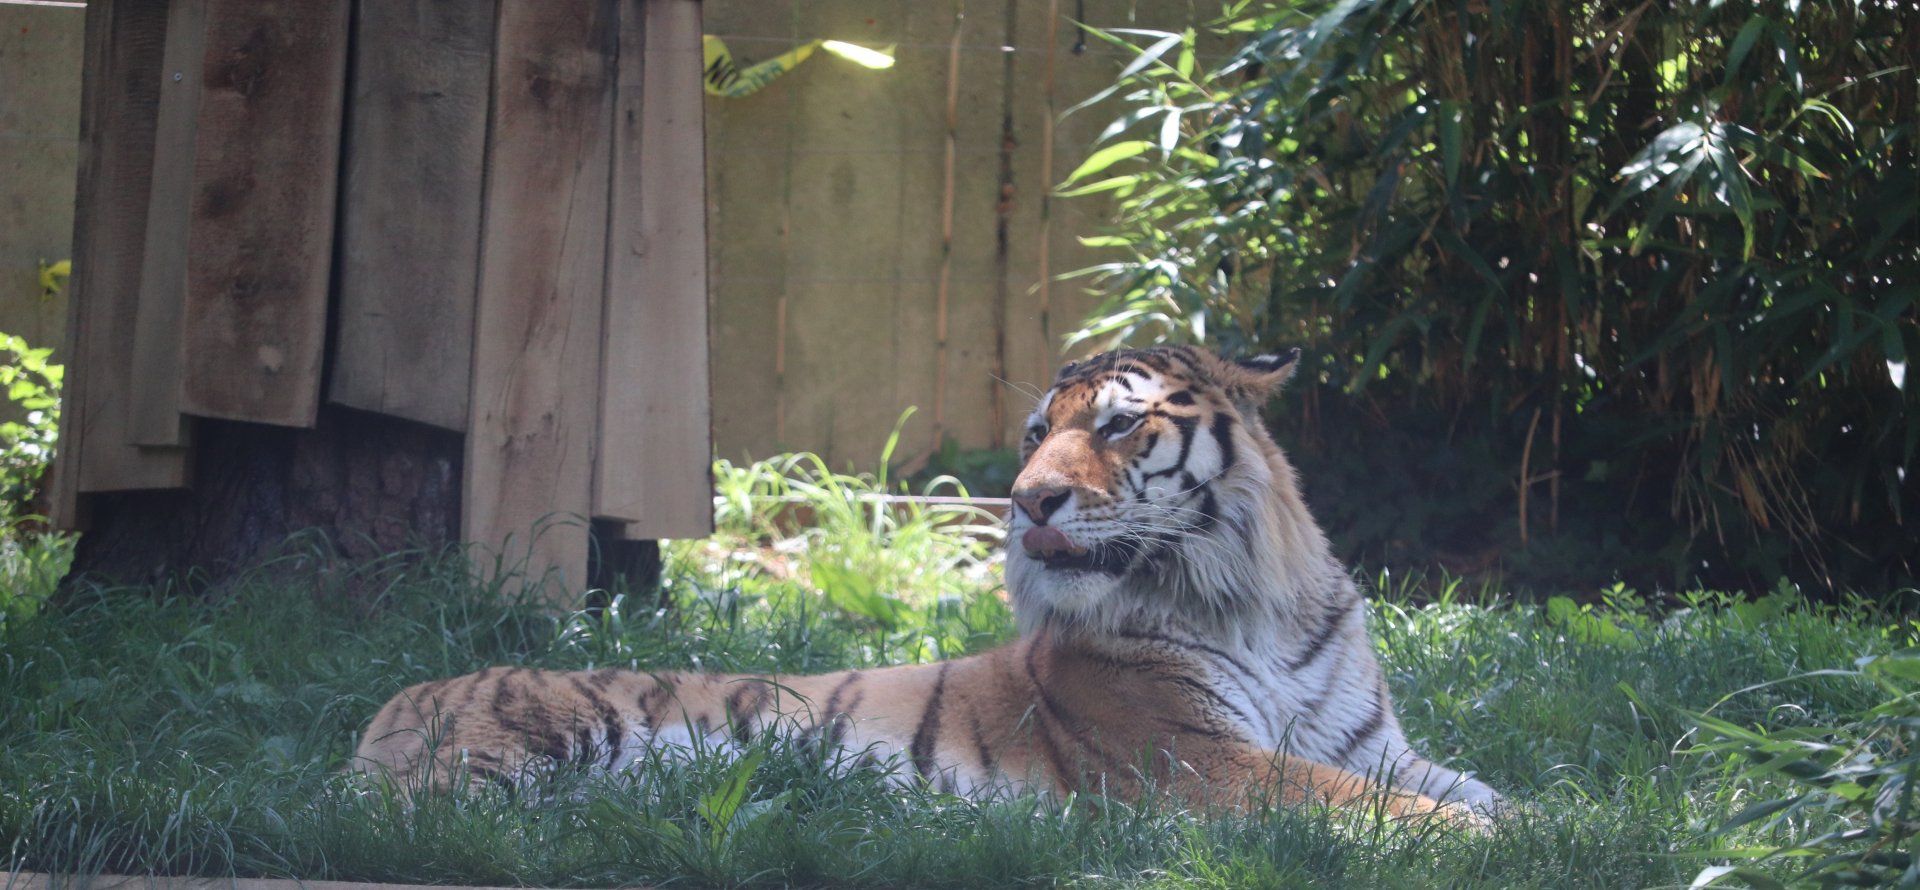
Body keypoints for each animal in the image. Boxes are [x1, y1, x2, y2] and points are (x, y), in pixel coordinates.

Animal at [353, 345, 1504, 820]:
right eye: (1038, 434)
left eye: (1118, 425)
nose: (1027, 501)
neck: (1249, 603)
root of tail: (395, 694)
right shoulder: (1198, 758)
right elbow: (1364, 805)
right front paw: (1471, 841)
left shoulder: (1376, 747)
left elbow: (1494, 790)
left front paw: (1531, 824)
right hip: (509, 758)